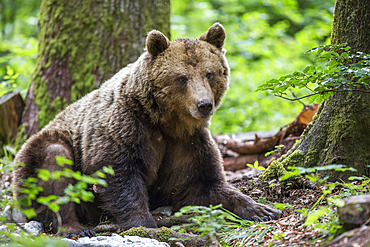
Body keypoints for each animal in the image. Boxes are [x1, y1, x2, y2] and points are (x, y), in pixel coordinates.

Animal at [13, 23, 278, 237]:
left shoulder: (188, 143)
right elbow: (118, 175)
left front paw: (261, 209)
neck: (165, 121)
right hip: (38, 154)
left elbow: (204, 183)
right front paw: (145, 224)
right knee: (54, 161)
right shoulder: (125, 128)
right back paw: (73, 227)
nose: (204, 105)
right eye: (182, 78)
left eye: (210, 73)